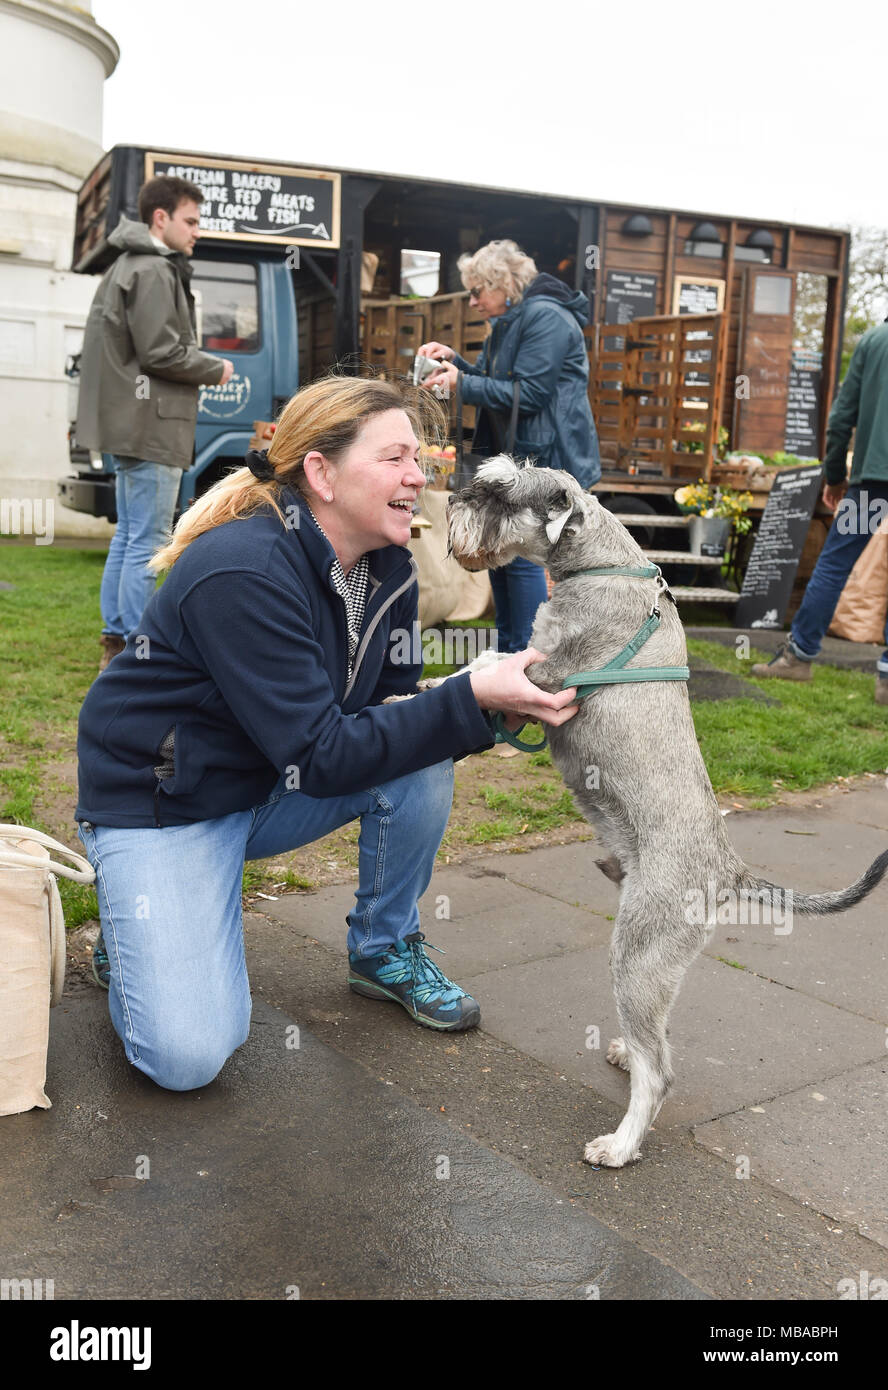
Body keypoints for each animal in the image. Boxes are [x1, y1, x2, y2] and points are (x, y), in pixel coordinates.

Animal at [450, 461, 888, 1167]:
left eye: (498, 493)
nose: (452, 504)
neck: (600, 565)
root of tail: (730, 871)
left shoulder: (547, 678)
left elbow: (485, 667)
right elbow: (485, 663)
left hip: (636, 953)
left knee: (660, 1071)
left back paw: (620, 1144)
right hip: (657, 965)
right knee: (655, 1039)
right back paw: (627, 1056)